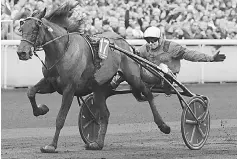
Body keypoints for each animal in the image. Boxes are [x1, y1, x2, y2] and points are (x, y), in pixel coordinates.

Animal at [16, 3, 171, 153]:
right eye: (21, 28)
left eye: (35, 28)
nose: (21, 52)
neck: (63, 51)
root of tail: (124, 42)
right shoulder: (51, 83)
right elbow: (30, 91)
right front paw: (41, 110)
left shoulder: (69, 88)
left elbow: (60, 118)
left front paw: (51, 146)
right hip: (99, 88)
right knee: (105, 114)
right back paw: (97, 143)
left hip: (132, 76)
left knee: (147, 92)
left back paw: (163, 125)